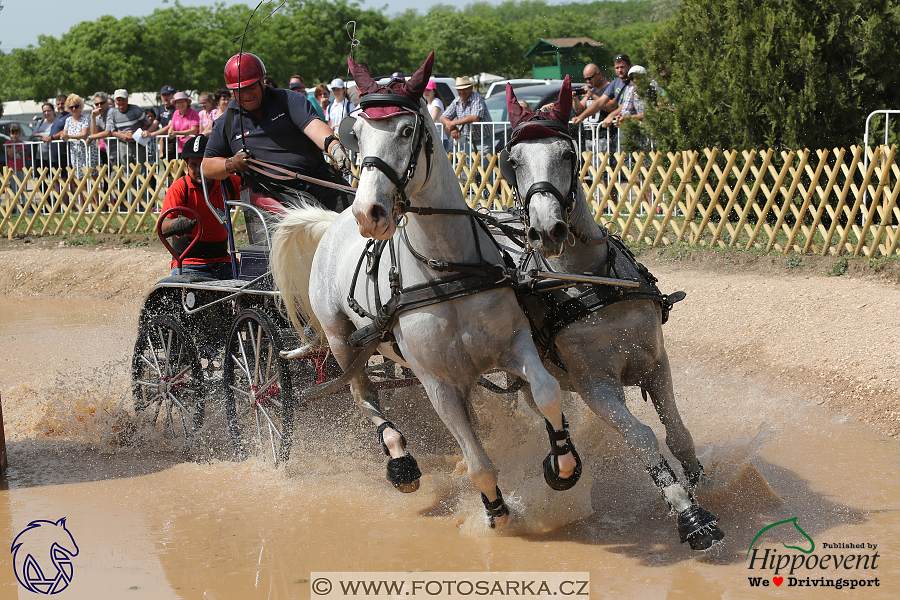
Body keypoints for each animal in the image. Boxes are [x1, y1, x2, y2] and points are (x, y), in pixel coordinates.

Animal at [268, 54, 576, 528]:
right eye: (358, 134)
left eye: (406, 130)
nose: (369, 212)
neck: (445, 269)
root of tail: (333, 221)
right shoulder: (437, 383)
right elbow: (479, 463)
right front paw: (497, 512)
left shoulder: (515, 345)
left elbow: (545, 391)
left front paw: (562, 463)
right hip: (341, 341)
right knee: (363, 395)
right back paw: (399, 460)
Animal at [496, 78, 728, 548]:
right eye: (513, 161)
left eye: (567, 154)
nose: (547, 230)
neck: (590, 283)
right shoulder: (596, 386)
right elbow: (642, 437)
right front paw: (688, 512)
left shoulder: (656, 363)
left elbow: (677, 433)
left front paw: (699, 480)